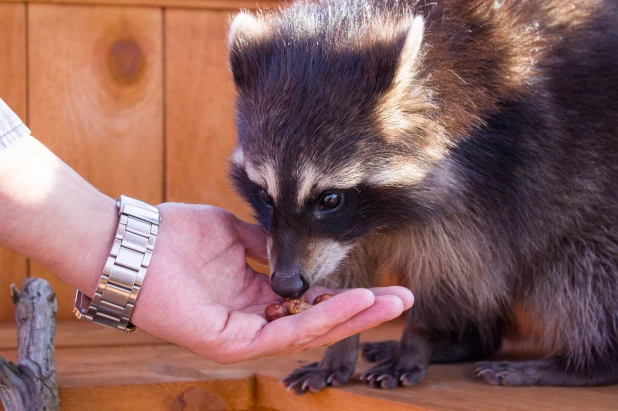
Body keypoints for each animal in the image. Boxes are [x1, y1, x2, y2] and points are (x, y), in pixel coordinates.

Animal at [226, 0, 616, 392]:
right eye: (264, 195)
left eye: (330, 199)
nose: (287, 284)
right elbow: (344, 270)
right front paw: (340, 345)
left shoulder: (486, 174)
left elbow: (461, 267)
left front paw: (418, 337)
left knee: (583, 272)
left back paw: (586, 364)